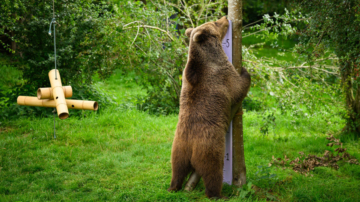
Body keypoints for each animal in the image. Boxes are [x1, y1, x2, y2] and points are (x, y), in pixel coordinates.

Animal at [168, 16, 250, 199]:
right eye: (215, 23)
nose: (225, 17)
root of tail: (190, 148)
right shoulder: (223, 75)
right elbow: (239, 86)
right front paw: (246, 71)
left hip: (178, 148)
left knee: (177, 169)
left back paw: (173, 186)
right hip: (209, 149)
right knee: (213, 173)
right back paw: (217, 194)